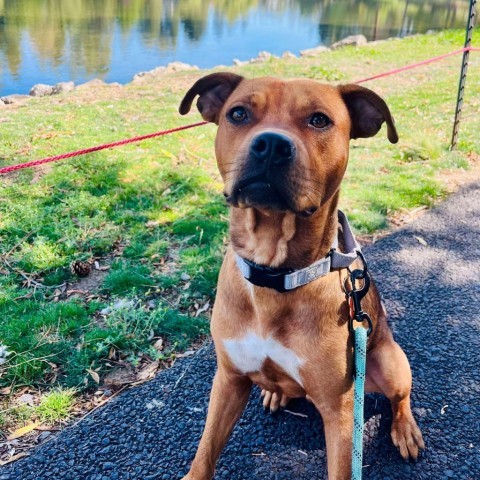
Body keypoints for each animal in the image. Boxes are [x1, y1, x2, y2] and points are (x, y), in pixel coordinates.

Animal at [177, 72, 424, 480]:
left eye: (319, 120)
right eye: (238, 113)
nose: (271, 145)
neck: (275, 273)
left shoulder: (340, 412)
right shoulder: (228, 379)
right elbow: (205, 450)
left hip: (389, 361)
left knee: (399, 398)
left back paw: (405, 430)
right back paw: (275, 391)